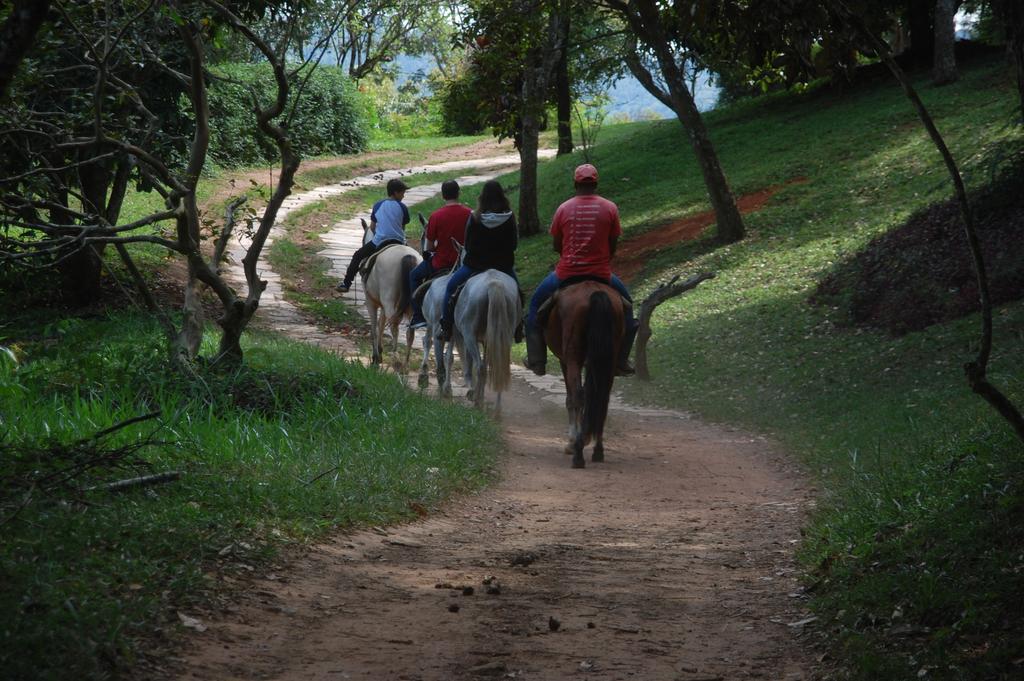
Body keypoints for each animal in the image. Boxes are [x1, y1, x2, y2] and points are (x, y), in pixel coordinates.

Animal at [360, 218, 419, 366]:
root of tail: (408, 255)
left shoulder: (371, 302)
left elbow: (375, 327)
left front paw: (376, 356)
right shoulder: (381, 304)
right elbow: (381, 324)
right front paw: (379, 353)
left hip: (388, 299)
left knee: (394, 325)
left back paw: (395, 357)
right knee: (410, 330)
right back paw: (405, 363)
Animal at [442, 268, 520, 409]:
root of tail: (494, 284)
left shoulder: (455, 330)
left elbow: (450, 356)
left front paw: (448, 389)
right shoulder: (487, 341)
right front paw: (477, 393)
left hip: (469, 335)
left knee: (480, 367)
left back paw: (477, 401)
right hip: (503, 337)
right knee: (497, 367)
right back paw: (496, 408)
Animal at [544, 280, 622, 466]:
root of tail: (595, 292)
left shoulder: (565, 361)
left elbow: (570, 399)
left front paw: (573, 441)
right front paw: (584, 436)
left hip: (573, 357)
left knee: (578, 396)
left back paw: (578, 455)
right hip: (608, 359)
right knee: (602, 398)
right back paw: (598, 451)